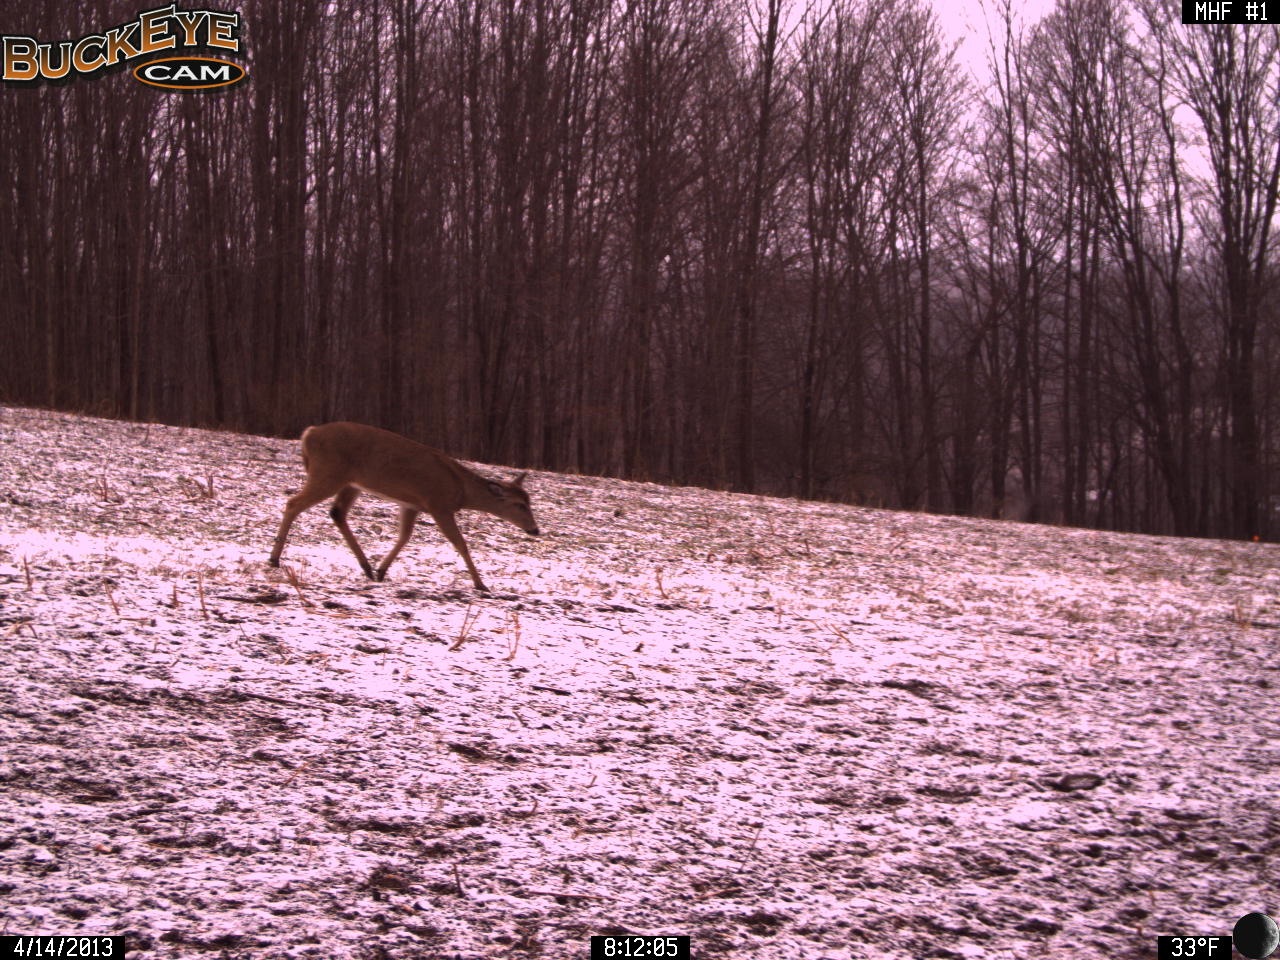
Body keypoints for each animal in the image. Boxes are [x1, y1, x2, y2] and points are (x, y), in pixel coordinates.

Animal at [270, 422, 540, 593]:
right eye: (519, 505)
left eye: (529, 502)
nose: (535, 530)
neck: (461, 490)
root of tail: (309, 434)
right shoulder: (438, 504)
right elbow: (460, 543)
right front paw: (481, 584)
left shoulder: (412, 504)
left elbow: (404, 536)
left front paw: (382, 570)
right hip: (328, 472)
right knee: (294, 503)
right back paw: (274, 558)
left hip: (350, 482)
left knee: (337, 513)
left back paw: (367, 567)